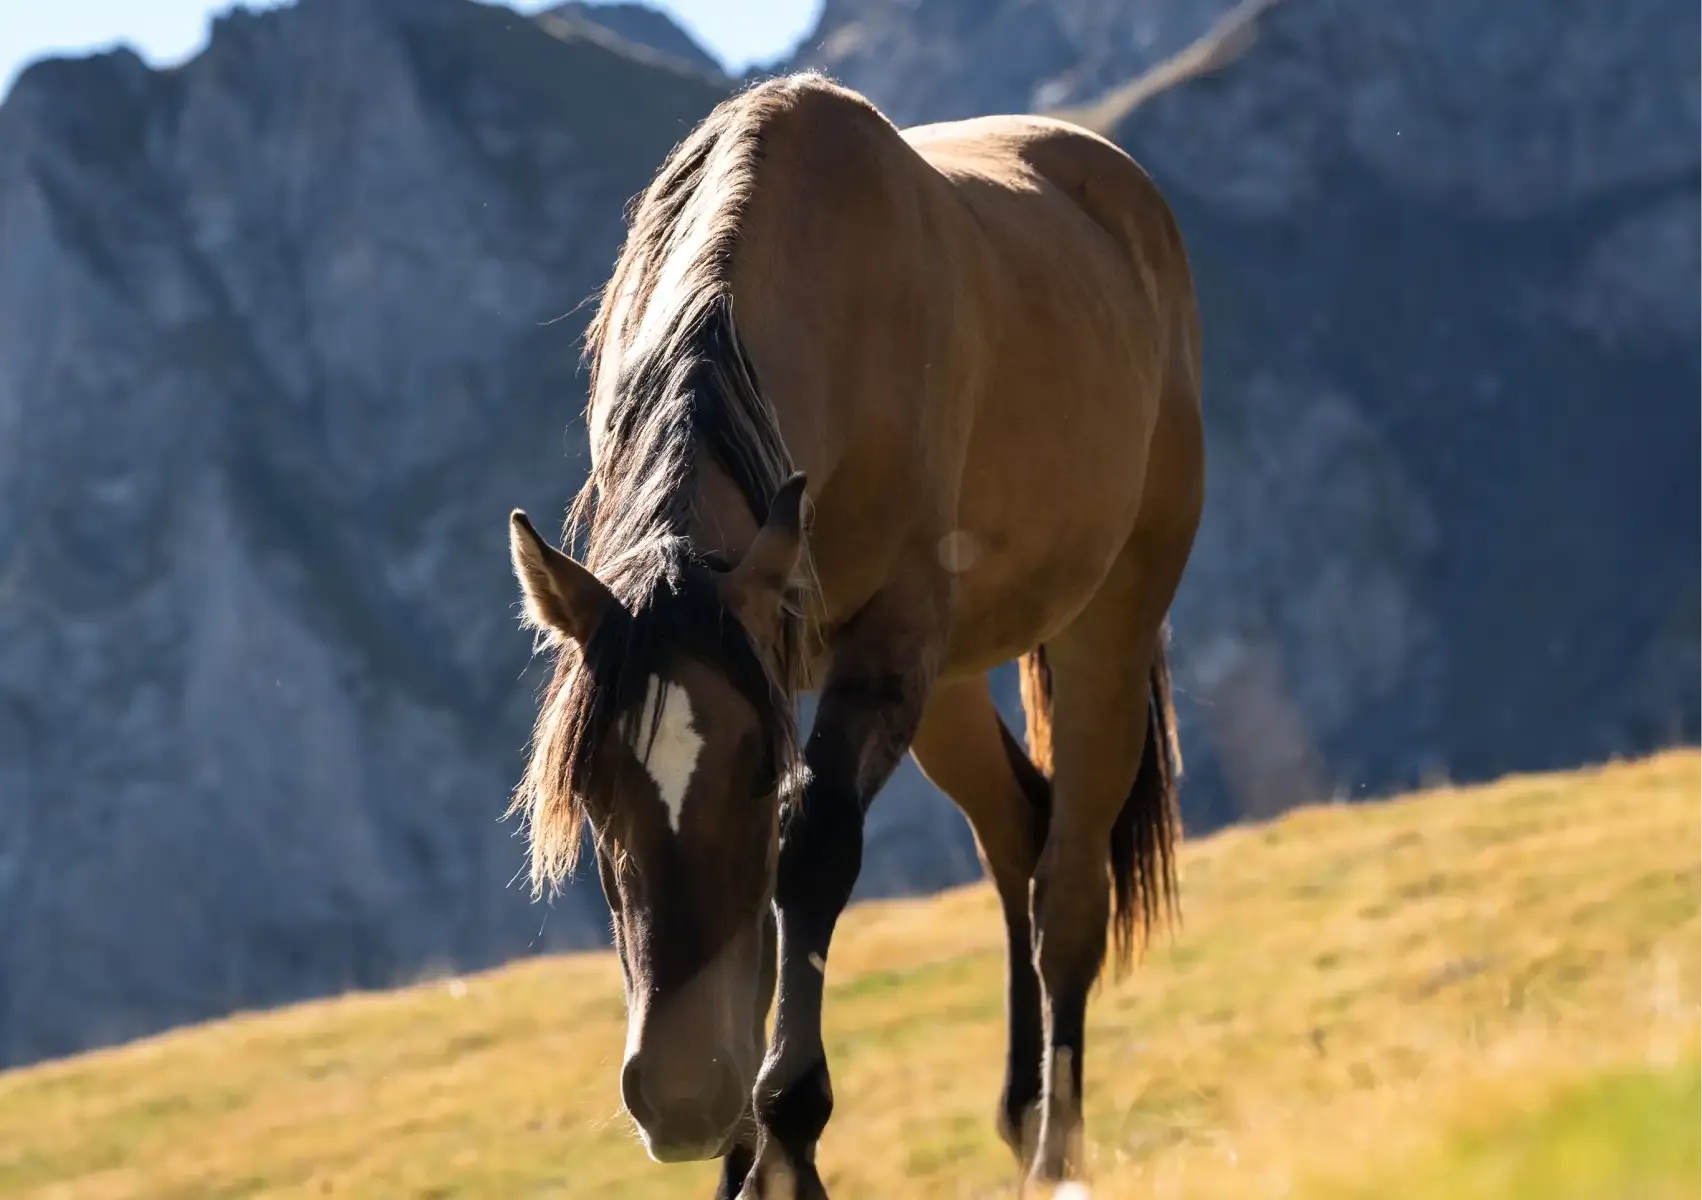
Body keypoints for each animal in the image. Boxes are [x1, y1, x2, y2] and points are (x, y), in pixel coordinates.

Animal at [505, 71, 1204, 1197]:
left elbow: (813, 852)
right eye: (593, 793)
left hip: (1109, 622)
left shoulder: (881, 649)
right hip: (950, 685)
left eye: (756, 780)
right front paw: (740, 1160)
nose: (680, 1100)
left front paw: (786, 1138)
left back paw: (1054, 1154)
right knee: (1018, 831)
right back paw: (1019, 1115)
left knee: (1068, 888)